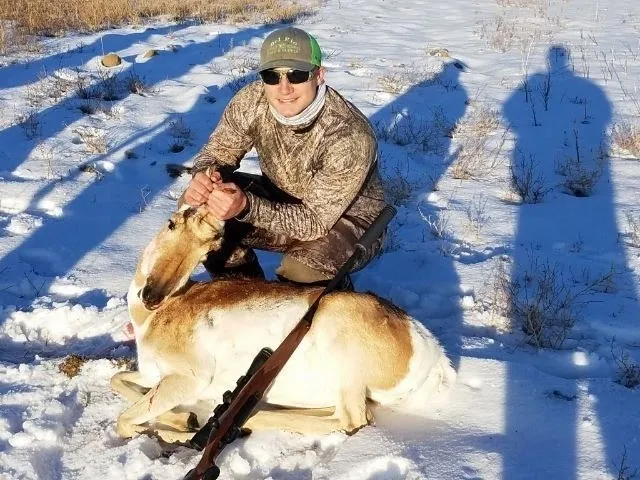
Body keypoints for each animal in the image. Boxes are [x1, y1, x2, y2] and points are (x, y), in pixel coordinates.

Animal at [112, 203, 458, 442]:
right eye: (170, 225)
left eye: (209, 246)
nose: (152, 295)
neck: (153, 317)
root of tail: (429, 347)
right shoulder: (150, 375)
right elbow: (117, 381)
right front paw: (184, 419)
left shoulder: (187, 379)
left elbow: (125, 421)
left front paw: (177, 426)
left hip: (343, 357)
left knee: (351, 420)